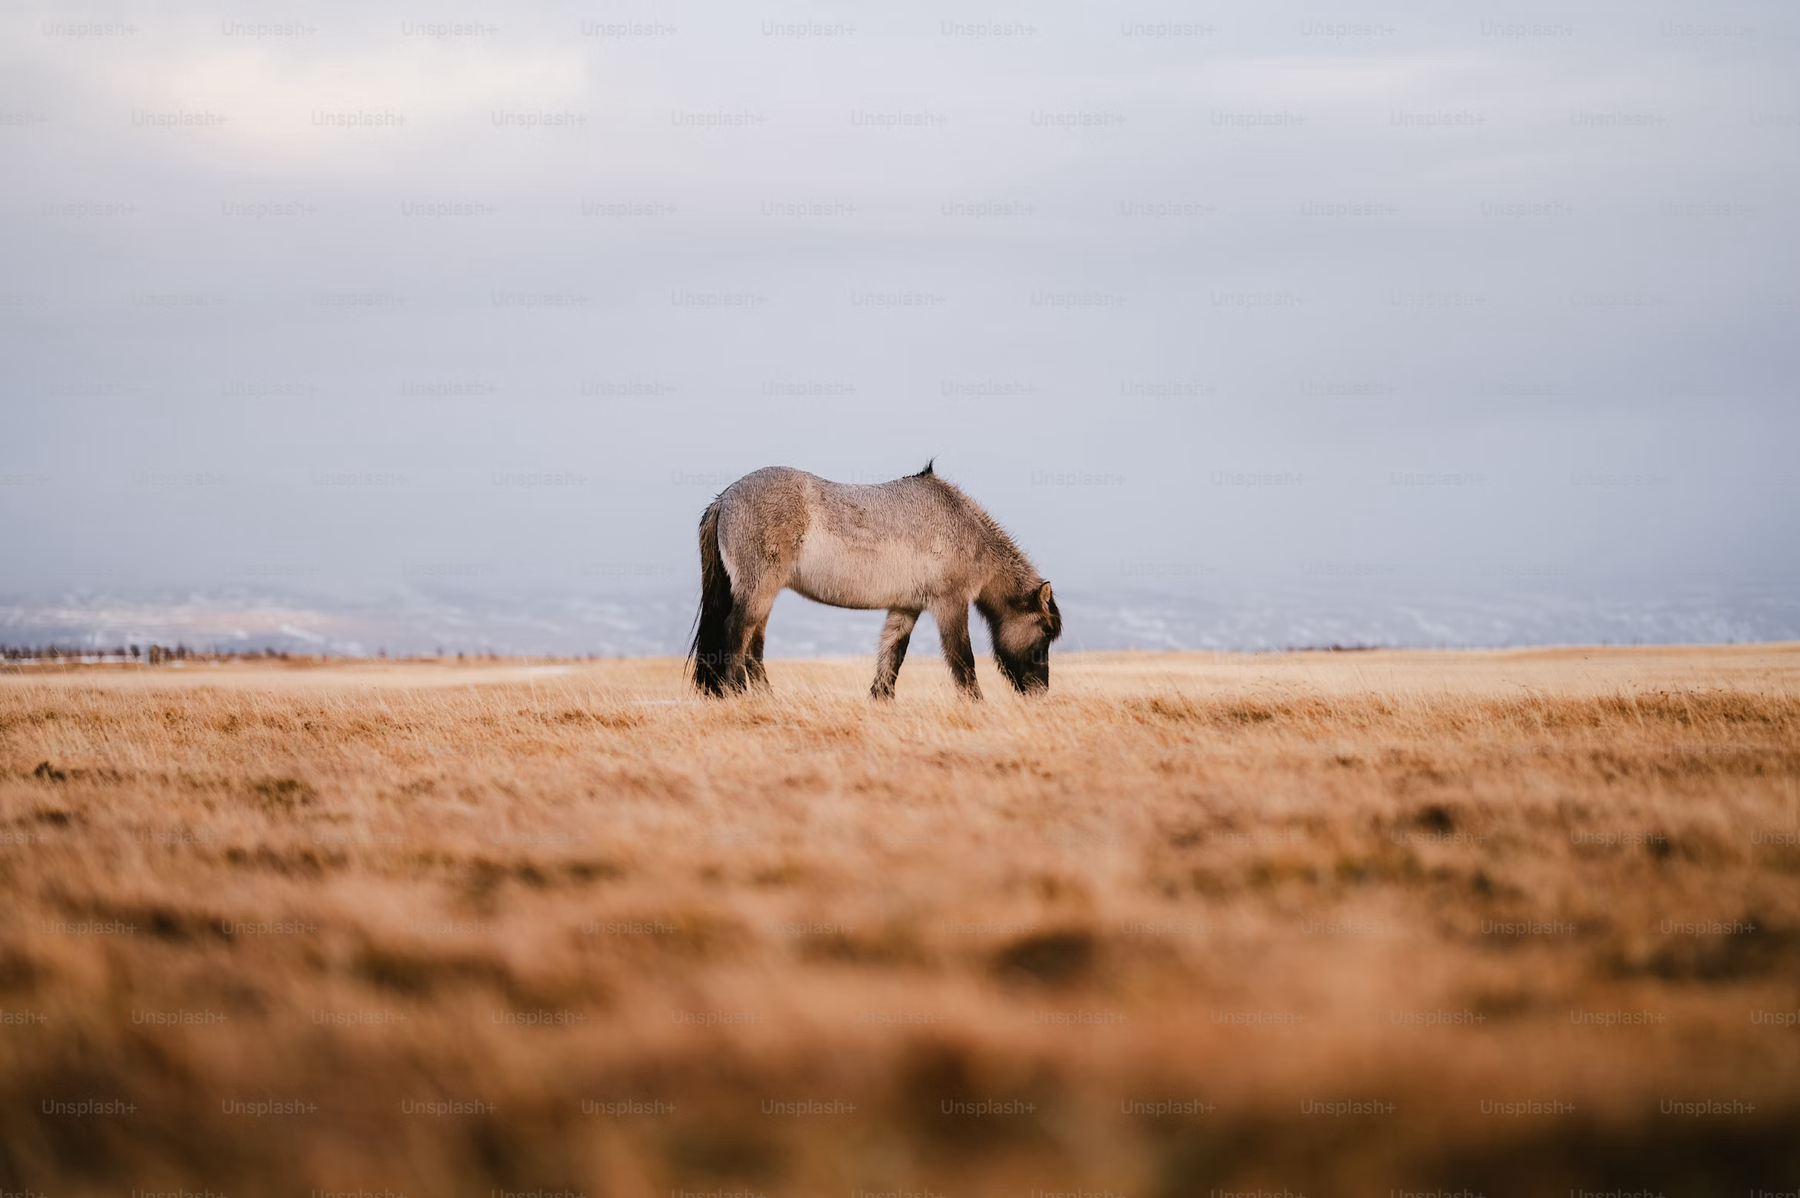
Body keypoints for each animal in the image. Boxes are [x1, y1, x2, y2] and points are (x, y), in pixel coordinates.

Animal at [688, 462, 1062, 699]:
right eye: (1045, 633)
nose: (1040, 693)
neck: (963, 527)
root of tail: (725, 498)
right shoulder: (950, 605)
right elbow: (962, 660)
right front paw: (977, 705)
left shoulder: (905, 608)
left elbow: (892, 656)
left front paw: (880, 699)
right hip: (758, 591)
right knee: (736, 635)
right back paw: (738, 694)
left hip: (764, 594)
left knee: (753, 646)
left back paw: (767, 699)